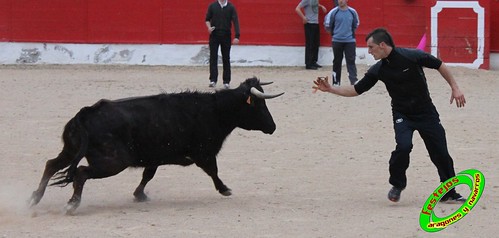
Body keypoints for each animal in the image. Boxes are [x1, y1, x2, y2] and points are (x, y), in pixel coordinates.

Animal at [29, 76, 284, 214]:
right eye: (259, 105)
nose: (273, 127)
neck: (214, 110)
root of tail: (87, 113)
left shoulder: (155, 158)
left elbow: (148, 175)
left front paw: (139, 195)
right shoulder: (203, 153)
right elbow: (214, 171)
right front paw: (225, 189)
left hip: (70, 149)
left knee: (51, 164)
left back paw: (33, 198)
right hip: (112, 162)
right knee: (81, 172)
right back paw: (71, 205)